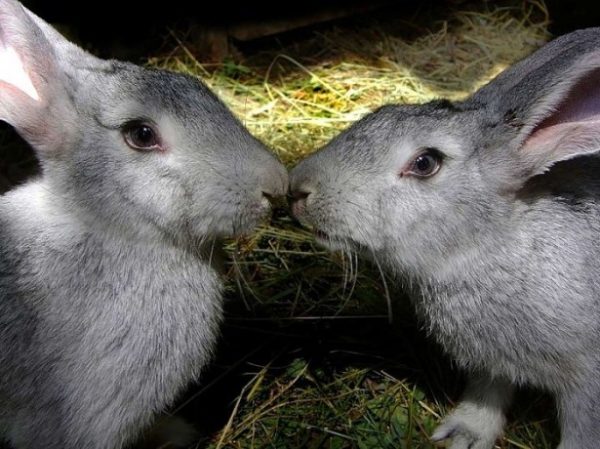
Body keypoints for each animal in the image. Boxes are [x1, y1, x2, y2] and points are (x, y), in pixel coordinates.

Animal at [288, 27, 600, 448]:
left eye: (425, 163)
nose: (298, 189)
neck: (486, 249)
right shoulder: (490, 367)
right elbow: (486, 396)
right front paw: (461, 436)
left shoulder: (587, 387)